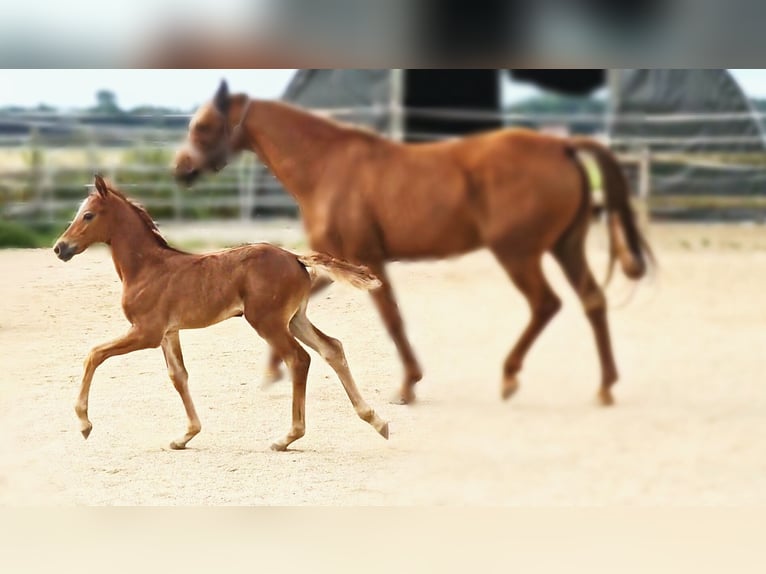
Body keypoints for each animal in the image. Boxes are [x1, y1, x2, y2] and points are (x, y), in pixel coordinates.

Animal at [54, 173, 390, 452]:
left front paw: (84, 424)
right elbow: (178, 376)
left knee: (299, 359)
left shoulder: (146, 332)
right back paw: (377, 421)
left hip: (268, 322)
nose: (60, 248)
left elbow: (94, 354)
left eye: (88, 215)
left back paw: (286, 438)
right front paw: (185, 436)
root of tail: (294, 257)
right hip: (295, 319)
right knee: (332, 348)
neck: (147, 268)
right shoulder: (168, 333)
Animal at [176, 81, 656, 408]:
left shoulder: (367, 260)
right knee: (592, 301)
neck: (327, 167)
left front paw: (408, 385)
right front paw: (273, 369)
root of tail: (562, 146)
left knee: (546, 304)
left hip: (518, 254)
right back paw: (605, 387)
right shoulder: (341, 262)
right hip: (565, 247)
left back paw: (510, 378)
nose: (180, 170)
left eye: (204, 125)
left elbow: (392, 320)